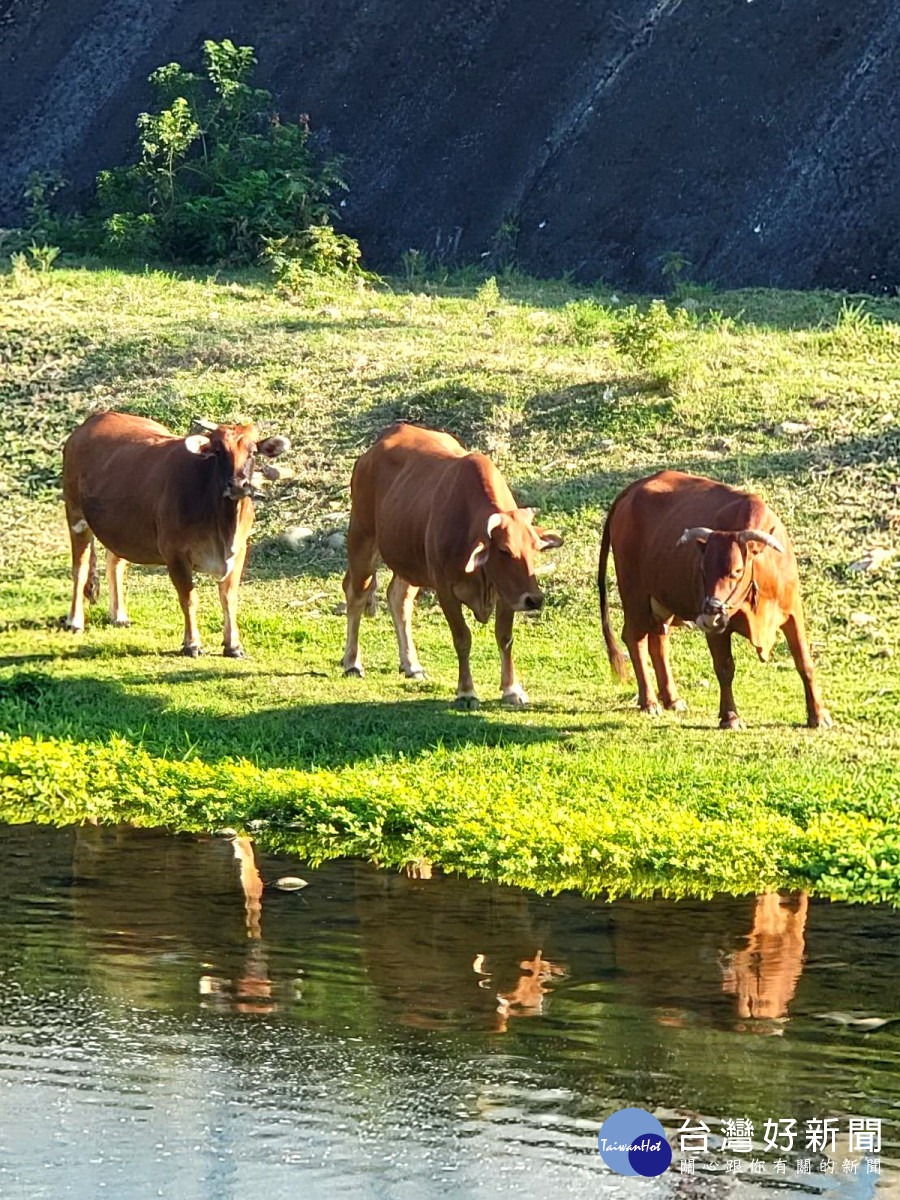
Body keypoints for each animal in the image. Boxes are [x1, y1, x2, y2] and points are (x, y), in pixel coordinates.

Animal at [63, 412, 289, 657]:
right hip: (76, 516)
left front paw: (233, 645)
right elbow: (189, 598)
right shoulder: (175, 554)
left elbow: (229, 598)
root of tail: (95, 418)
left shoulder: (239, 550)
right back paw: (75, 621)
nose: (238, 484)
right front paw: (192, 643)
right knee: (80, 569)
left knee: (115, 562)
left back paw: (119, 616)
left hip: (121, 528)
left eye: (253, 451)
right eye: (219, 451)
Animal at [340, 424, 564, 705]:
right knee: (356, 595)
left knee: (398, 599)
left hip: (409, 559)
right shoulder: (445, 589)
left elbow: (504, 637)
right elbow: (462, 638)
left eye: (534, 548)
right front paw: (466, 691)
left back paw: (411, 665)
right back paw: (352, 662)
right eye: (504, 550)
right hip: (362, 541)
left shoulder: (506, 594)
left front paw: (512, 689)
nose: (534, 599)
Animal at [600, 472, 830, 724]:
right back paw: (649, 701)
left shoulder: (793, 613)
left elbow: (804, 662)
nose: (710, 614)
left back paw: (672, 699)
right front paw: (730, 716)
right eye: (702, 569)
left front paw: (818, 715)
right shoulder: (716, 629)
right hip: (635, 596)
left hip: (661, 601)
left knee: (658, 641)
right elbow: (724, 668)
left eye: (737, 571)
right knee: (636, 639)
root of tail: (633, 488)